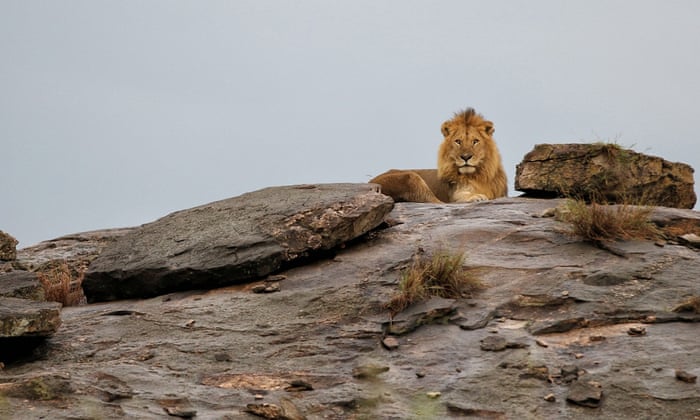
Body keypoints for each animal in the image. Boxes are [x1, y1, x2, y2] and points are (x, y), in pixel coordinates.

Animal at [370, 108, 507, 203]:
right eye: (458, 141)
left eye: (475, 141)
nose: (466, 157)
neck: (477, 176)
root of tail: (370, 182)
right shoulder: (453, 193)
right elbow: (458, 197)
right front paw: (476, 196)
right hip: (410, 177)